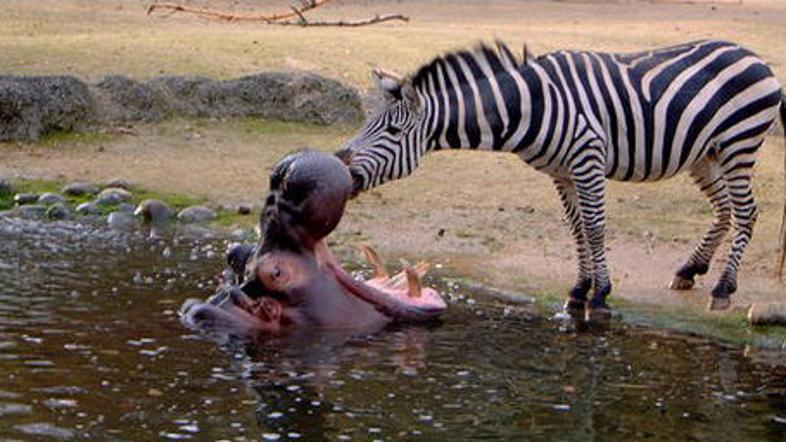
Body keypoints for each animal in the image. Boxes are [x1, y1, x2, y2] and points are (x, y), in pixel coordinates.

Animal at [336, 39, 786, 318]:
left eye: (394, 132)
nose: (341, 165)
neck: (528, 105)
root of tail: (754, 56)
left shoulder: (587, 159)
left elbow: (596, 226)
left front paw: (600, 295)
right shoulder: (562, 173)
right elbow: (577, 229)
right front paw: (579, 290)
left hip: (739, 145)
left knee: (747, 212)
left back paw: (723, 289)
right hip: (705, 154)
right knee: (724, 209)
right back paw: (691, 270)